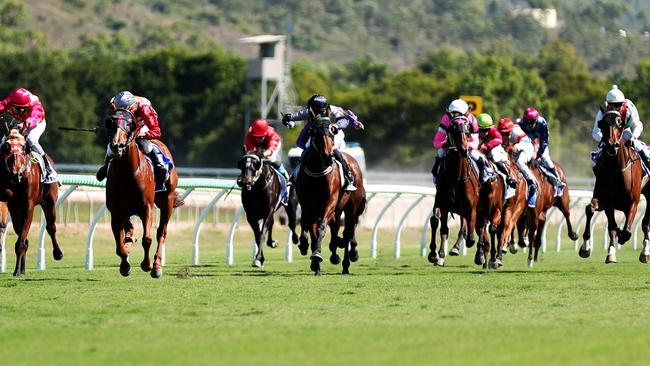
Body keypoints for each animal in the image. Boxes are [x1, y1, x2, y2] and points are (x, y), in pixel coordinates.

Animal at [0, 126, 62, 274]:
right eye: (6, 146)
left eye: (23, 147)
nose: (16, 174)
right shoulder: (13, 207)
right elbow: (21, 237)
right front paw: (18, 269)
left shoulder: (29, 206)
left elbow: (21, 241)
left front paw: (17, 271)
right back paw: (22, 268)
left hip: (49, 203)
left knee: (51, 227)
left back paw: (58, 253)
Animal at [105, 108, 180, 278]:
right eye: (111, 122)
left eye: (129, 124)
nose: (117, 146)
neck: (127, 174)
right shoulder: (116, 211)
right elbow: (119, 244)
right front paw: (125, 266)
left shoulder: (146, 208)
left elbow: (147, 238)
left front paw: (148, 265)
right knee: (128, 230)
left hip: (167, 200)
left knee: (161, 232)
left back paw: (157, 266)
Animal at [294, 114, 364, 274]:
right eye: (314, 133)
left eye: (332, 133)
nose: (327, 156)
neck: (317, 171)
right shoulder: (308, 206)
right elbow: (312, 230)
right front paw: (315, 261)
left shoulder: (329, 202)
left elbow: (321, 227)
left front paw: (318, 256)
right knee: (337, 228)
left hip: (351, 208)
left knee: (348, 231)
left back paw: (347, 261)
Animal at [580, 108, 644, 264]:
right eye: (602, 123)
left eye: (620, 123)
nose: (611, 145)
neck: (616, 170)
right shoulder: (605, 201)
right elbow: (591, 210)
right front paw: (585, 248)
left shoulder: (633, 202)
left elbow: (626, 231)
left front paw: (622, 235)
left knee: (645, 224)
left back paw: (645, 253)